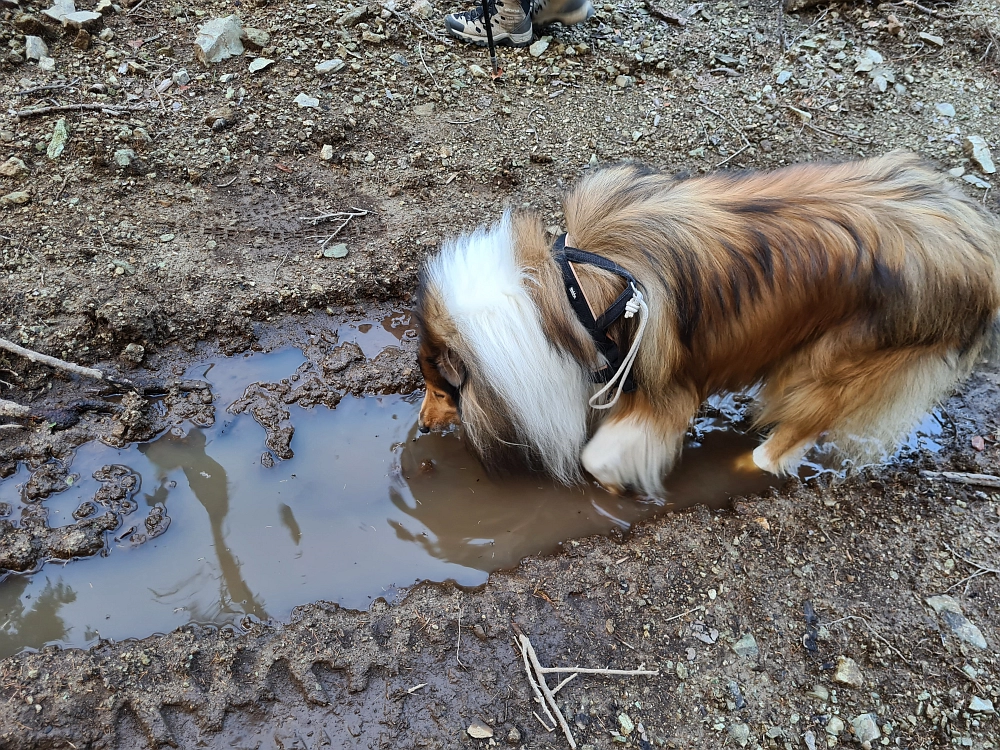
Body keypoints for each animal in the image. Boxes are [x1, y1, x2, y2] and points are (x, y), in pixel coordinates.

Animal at [412, 153, 1000, 496]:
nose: (419, 428)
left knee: (801, 428)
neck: (568, 293)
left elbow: (598, 456)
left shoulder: (663, 390)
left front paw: (617, 483)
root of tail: (977, 240)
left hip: (838, 362)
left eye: (441, 388)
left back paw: (751, 460)